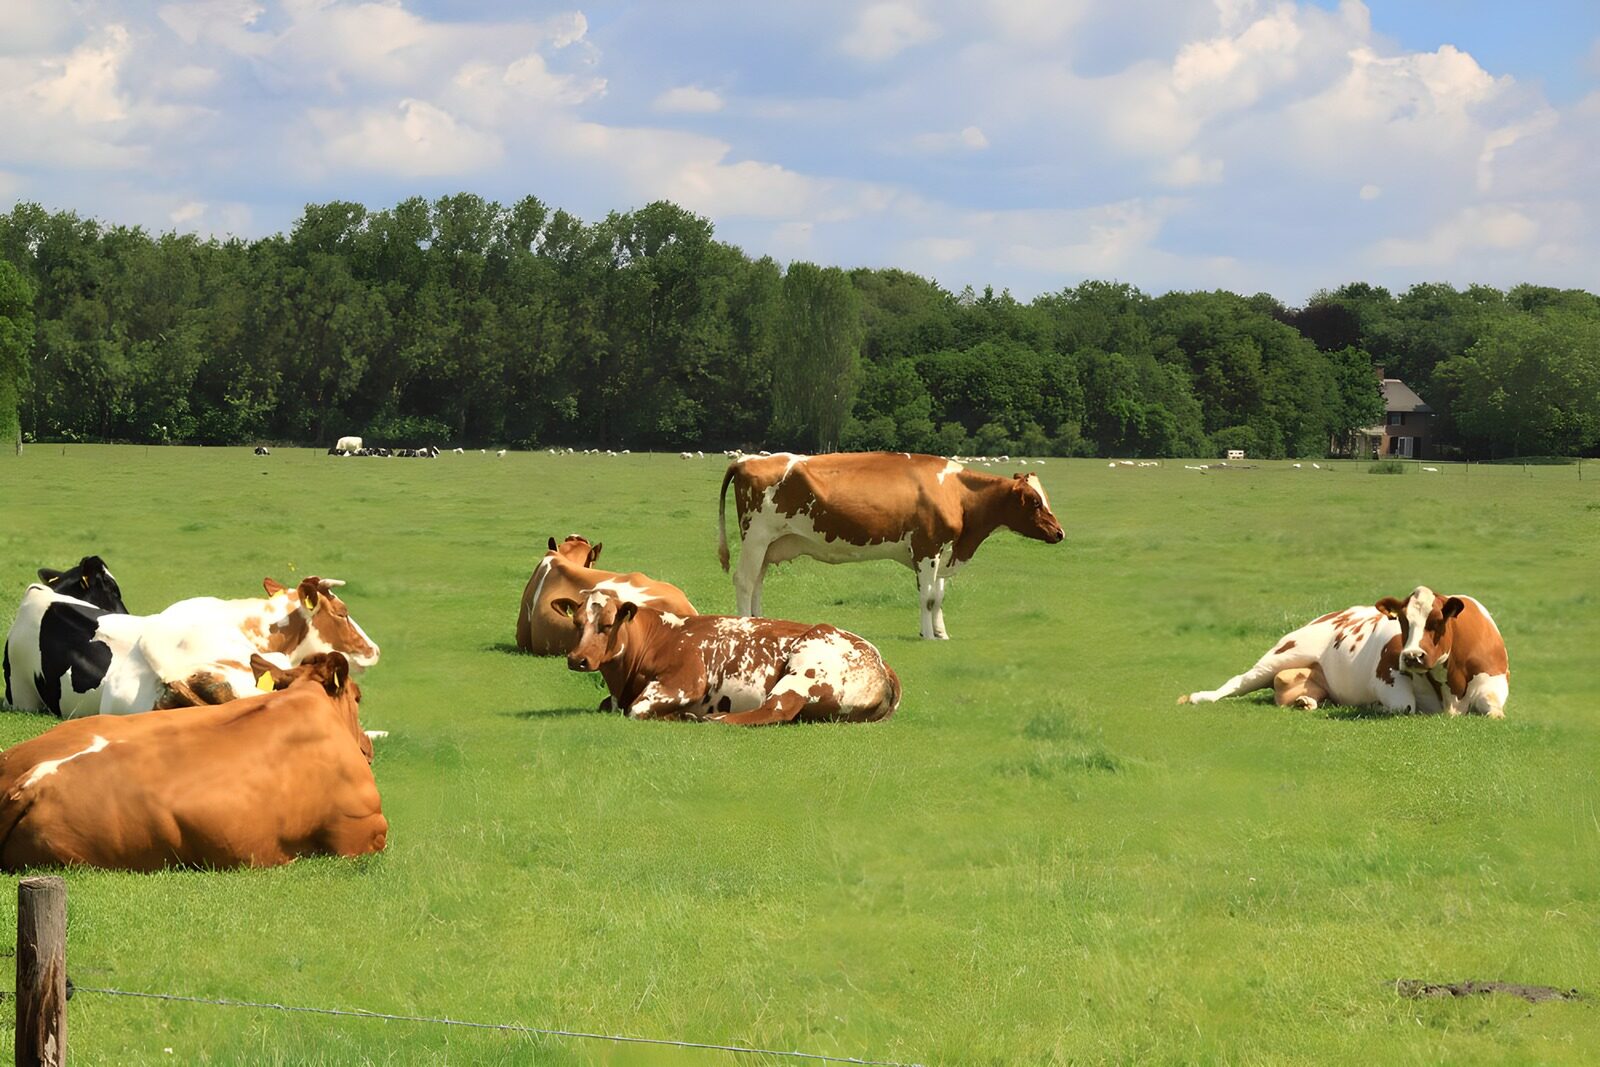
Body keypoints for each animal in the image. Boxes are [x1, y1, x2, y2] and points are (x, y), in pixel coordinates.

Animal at [551, 588, 900, 725]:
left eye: (607, 624)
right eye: (577, 622)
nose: (577, 659)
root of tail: (879, 658)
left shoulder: (685, 681)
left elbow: (636, 710)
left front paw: (681, 714)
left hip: (804, 669)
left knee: (776, 710)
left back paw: (711, 718)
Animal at [717, 451, 1064, 639]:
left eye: (1044, 497)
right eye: (1034, 502)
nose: (1060, 533)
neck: (955, 491)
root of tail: (746, 460)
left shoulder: (940, 552)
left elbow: (938, 597)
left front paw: (941, 632)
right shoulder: (927, 548)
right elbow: (927, 598)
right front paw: (928, 635)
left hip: (768, 545)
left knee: (757, 582)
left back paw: (762, 624)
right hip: (756, 537)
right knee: (744, 581)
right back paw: (745, 625)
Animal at [1177, 586, 1508, 717]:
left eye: (1437, 621)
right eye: (1402, 620)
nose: (1412, 656)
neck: (1450, 684)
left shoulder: (1494, 684)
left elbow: (1495, 711)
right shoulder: (1386, 674)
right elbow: (1404, 706)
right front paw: (1373, 706)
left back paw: (1306, 702)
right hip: (1281, 655)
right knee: (1238, 681)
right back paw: (1197, 697)